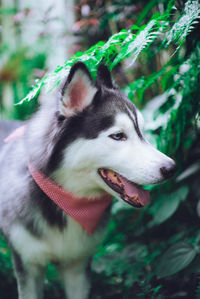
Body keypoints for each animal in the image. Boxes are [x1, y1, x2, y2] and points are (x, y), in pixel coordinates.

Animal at [0, 62, 175, 298]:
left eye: (141, 132)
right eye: (118, 136)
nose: (171, 168)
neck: (64, 199)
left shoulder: (78, 266)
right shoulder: (28, 265)